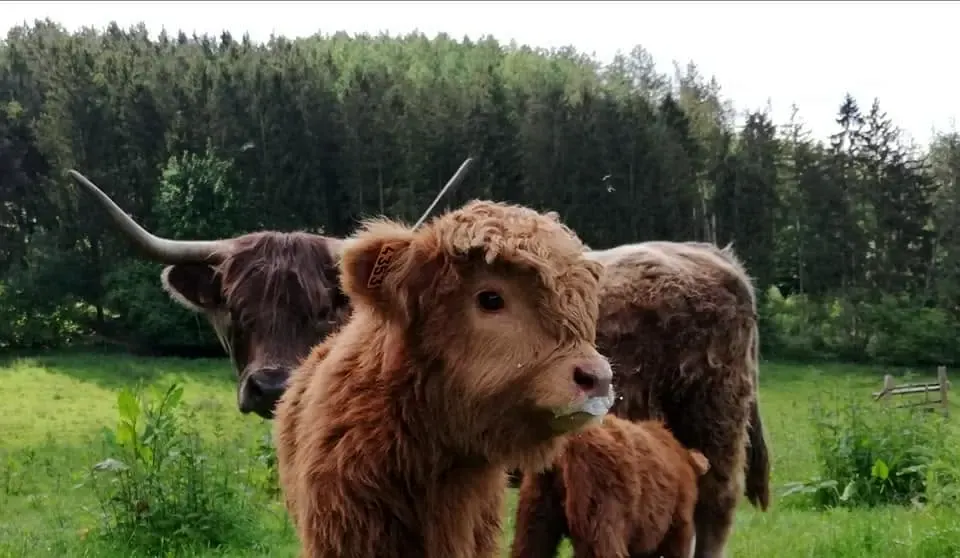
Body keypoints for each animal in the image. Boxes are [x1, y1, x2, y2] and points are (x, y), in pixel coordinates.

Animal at [510, 414, 710, 558]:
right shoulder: (676, 511)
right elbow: (676, 543)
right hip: (603, 492)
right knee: (604, 545)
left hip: (540, 492)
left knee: (531, 542)